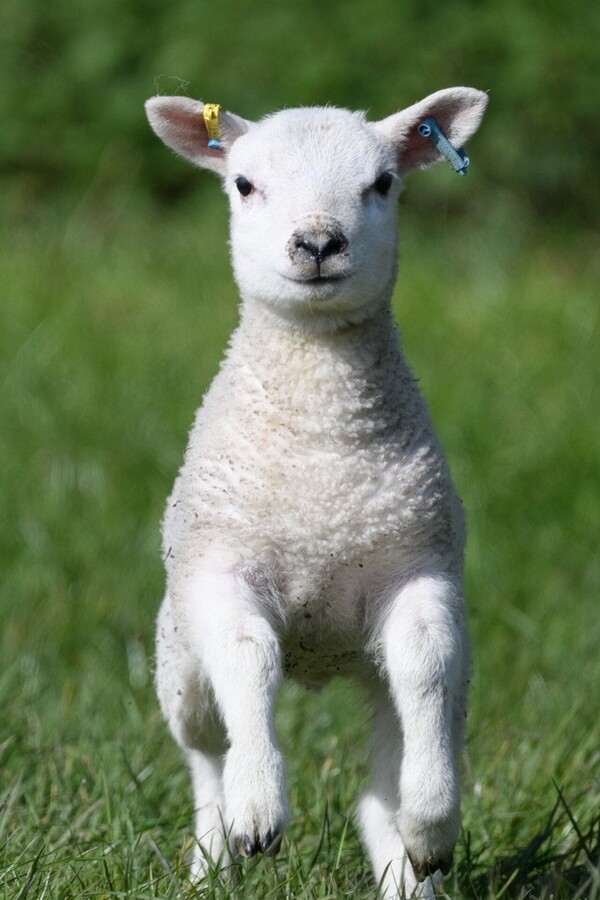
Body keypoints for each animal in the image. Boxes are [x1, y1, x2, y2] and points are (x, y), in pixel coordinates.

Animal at [145, 86, 487, 899]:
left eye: (383, 183)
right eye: (244, 184)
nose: (318, 242)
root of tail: (322, 659)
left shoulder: (419, 569)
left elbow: (426, 659)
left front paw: (434, 828)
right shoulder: (220, 570)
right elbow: (248, 656)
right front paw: (259, 813)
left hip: (395, 673)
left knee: (381, 783)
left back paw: (411, 868)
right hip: (177, 658)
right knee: (204, 751)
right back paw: (216, 848)